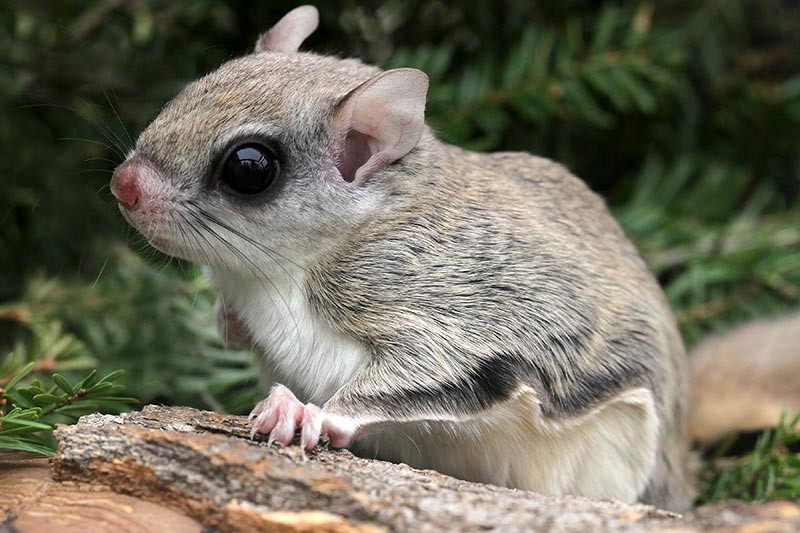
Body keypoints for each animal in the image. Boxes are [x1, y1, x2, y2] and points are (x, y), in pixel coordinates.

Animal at [111, 5, 706, 511]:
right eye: (194, 87)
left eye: (250, 167)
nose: (123, 185)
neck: (277, 273)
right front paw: (230, 321)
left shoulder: (462, 302)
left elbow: (426, 372)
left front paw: (305, 410)